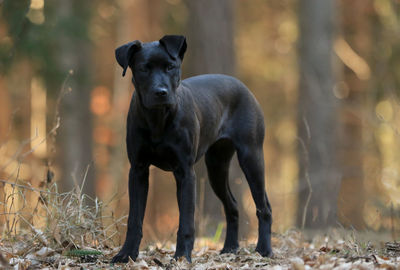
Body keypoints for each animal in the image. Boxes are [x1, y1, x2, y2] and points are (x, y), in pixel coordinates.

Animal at [111, 34, 270, 262]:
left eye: (171, 67)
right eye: (144, 69)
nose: (161, 92)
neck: (158, 119)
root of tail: (242, 86)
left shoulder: (185, 172)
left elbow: (186, 221)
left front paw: (181, 257)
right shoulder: (138, 170)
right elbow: (135, 219)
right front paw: (126, 254)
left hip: (251, 156)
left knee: (263, 207)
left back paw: (264, 250)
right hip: (216, 166)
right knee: (232, 205)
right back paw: (230, 248)